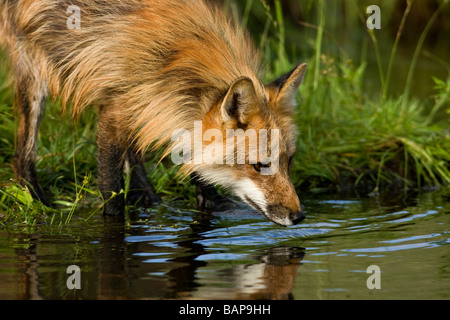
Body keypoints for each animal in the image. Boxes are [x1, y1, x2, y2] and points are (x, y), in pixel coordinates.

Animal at [0, 0, 306, 226]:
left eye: (289, 161)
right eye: (259, 165)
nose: (299, 216)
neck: (171, 58)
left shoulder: (164, 110)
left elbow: (196, 171)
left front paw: (209, 204)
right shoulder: (114, 108)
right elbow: (112, 190)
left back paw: (145, 195)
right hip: (33, 69)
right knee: (22, 155)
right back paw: (37, 199)